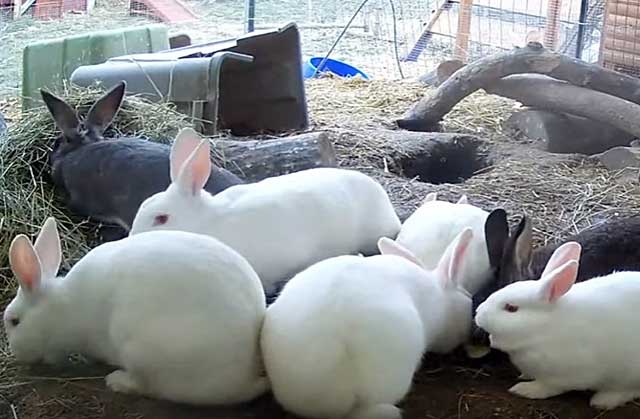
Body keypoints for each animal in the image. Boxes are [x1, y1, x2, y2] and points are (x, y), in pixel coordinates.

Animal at [2, 217, 267, 405]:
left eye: (14, 321)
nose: (15, 353)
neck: (62, 309)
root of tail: (244, 378)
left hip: (139, 351)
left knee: (151, 387)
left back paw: (116, 381)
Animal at [475, 241, 640, 410]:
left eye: (511, 308)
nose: (477, 313)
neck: (544, 328)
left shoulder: (564, 376)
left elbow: (548, 387)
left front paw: (524, 389)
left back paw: (603, 400)